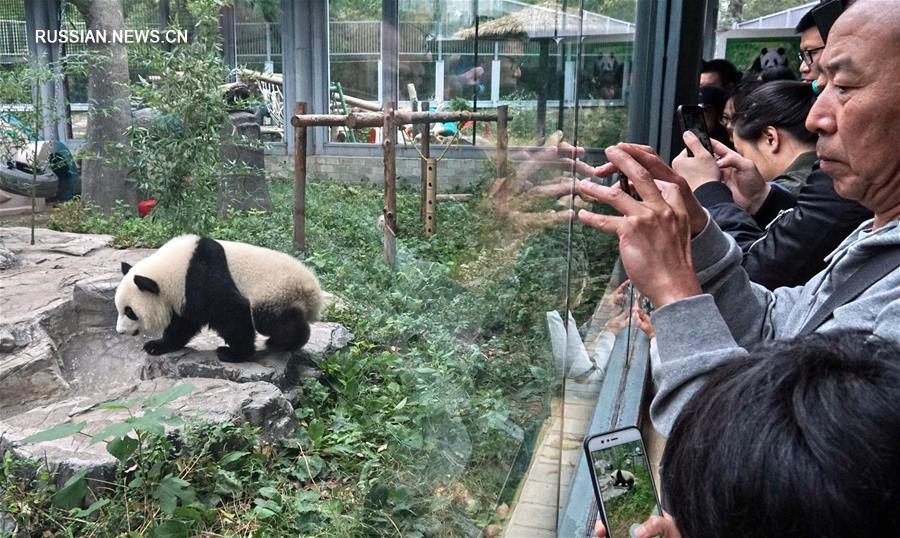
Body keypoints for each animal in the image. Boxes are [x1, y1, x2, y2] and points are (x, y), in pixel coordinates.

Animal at [114, 233, 322, 360]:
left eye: (130, 312)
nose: (120, 331)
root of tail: (313, 289)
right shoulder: (183, 297)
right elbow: (182, 324)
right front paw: (157, 346)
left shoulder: (201, 277)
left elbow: (232, 311)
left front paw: (234, 354)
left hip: (276, 290)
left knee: (270, 319)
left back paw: (285, 342)